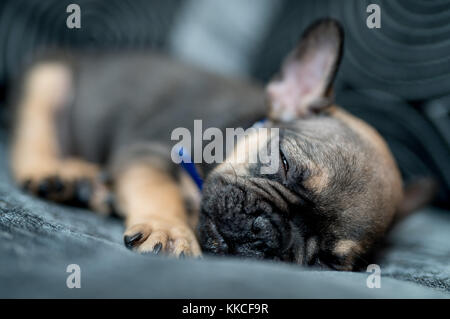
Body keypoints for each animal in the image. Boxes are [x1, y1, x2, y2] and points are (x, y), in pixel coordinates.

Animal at [10, 19, 430, 270]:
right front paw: (169, 231)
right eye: (283, 162)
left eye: (327, 261)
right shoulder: (150, 154)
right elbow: (158, 188)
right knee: (34, 137)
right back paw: (56, 174)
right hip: (49, 78)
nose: (266, 233)